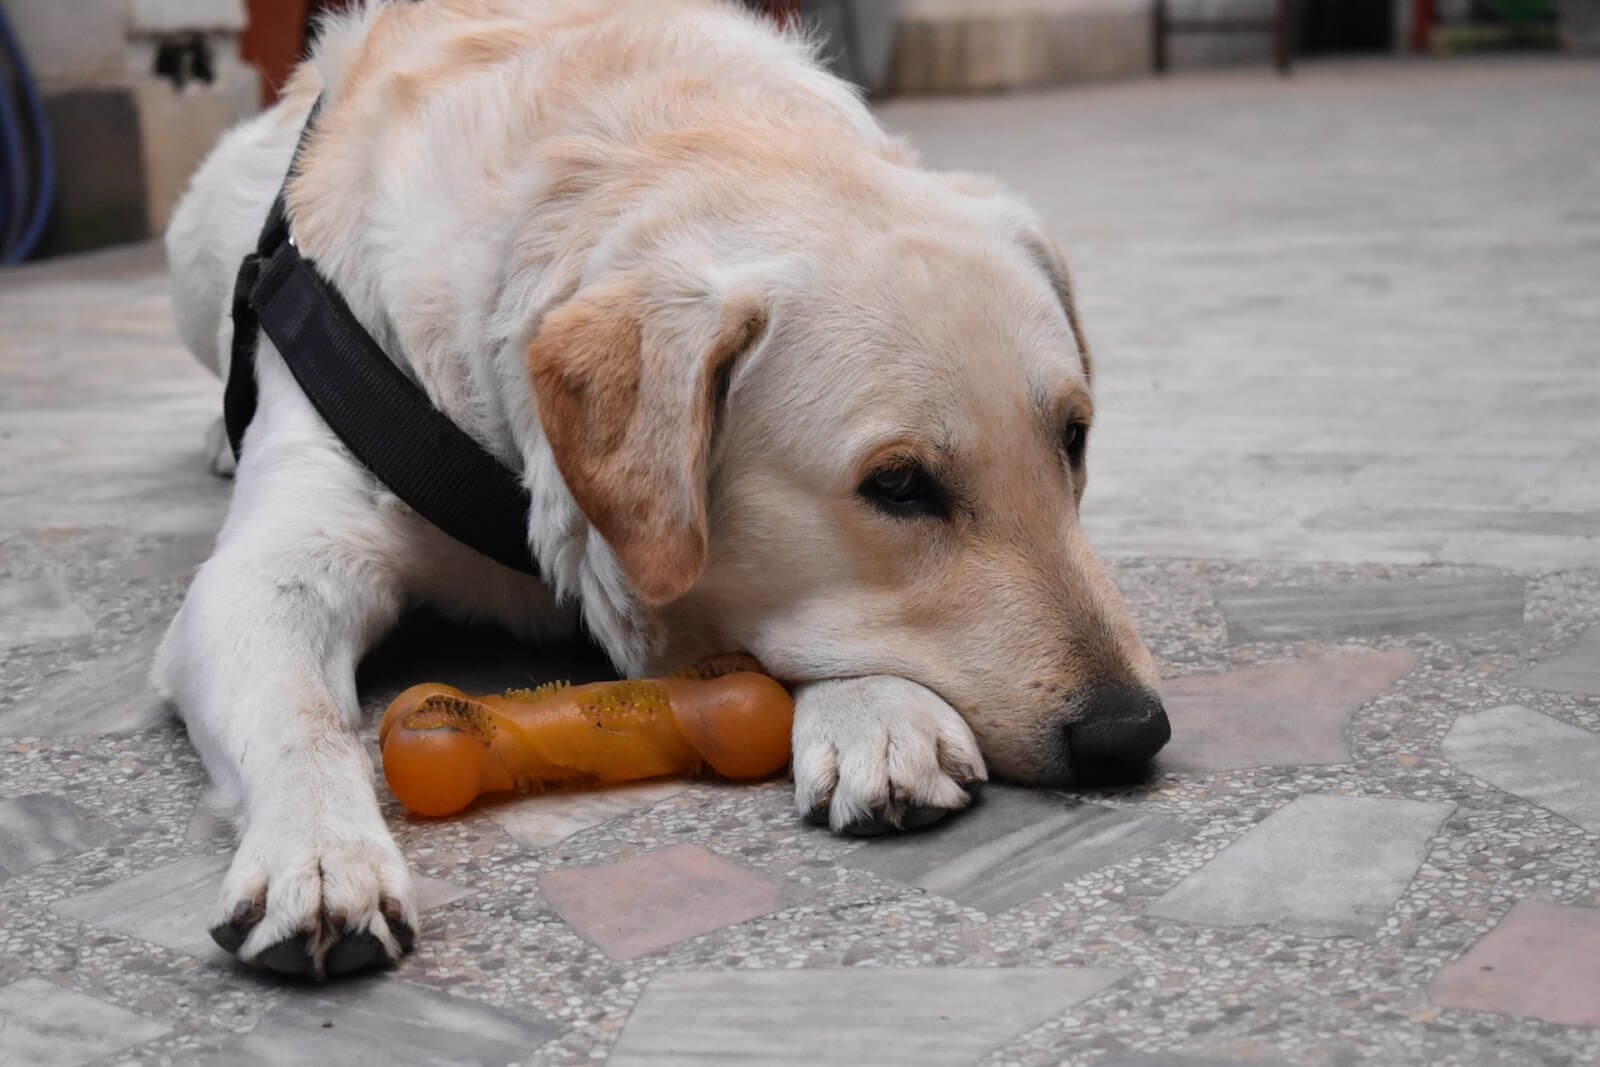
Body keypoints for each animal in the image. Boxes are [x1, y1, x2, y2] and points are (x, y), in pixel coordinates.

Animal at [156, 0, 1171, 979]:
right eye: (899, 483)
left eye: (1073, 439)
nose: (1132, 731)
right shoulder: (271, 570)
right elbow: (300, 716)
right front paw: (318, 852)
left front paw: (878, 712)